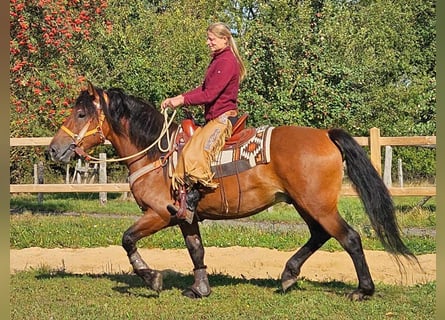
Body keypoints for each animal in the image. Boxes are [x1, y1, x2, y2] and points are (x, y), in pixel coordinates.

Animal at [50, 81, 414, 302]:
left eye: (81, 113)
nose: (54, 150)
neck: (156, 153)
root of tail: (325, 135)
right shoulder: (185, 217)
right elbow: (196, 250)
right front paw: (200, 288)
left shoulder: (158, 215)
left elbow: (127, 239)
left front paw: (151, 278)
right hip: (304, 203)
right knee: (320, 235)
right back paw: (288, 274)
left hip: (317, 204)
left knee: (349, 238)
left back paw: (362, 290)